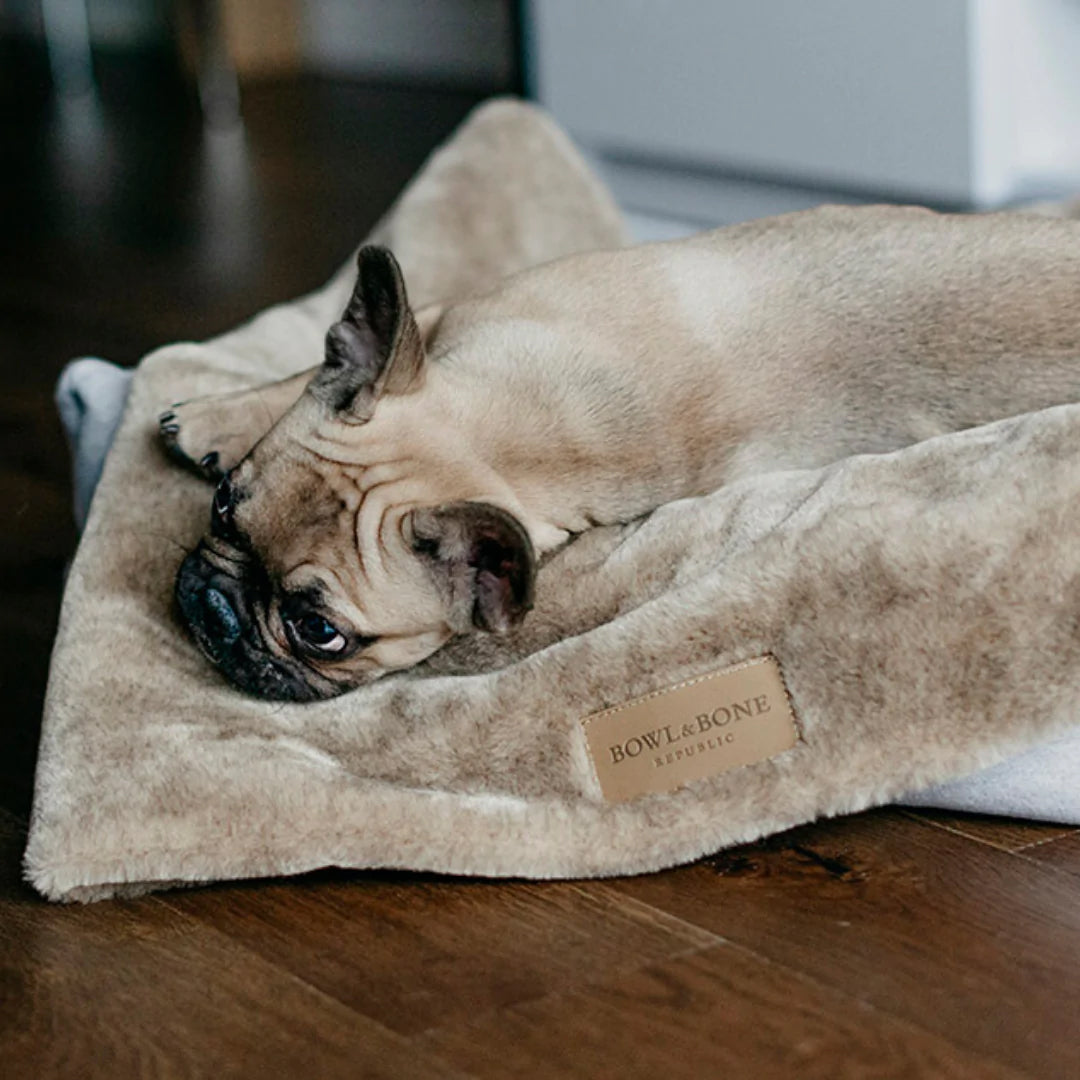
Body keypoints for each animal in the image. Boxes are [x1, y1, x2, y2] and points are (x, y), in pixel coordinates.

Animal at [159, 204, 1080, 699]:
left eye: (320, 632)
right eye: (224, 509)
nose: (219, 611)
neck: (506, 432)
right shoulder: (456, 318)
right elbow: (305, 370)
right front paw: (216, 413)